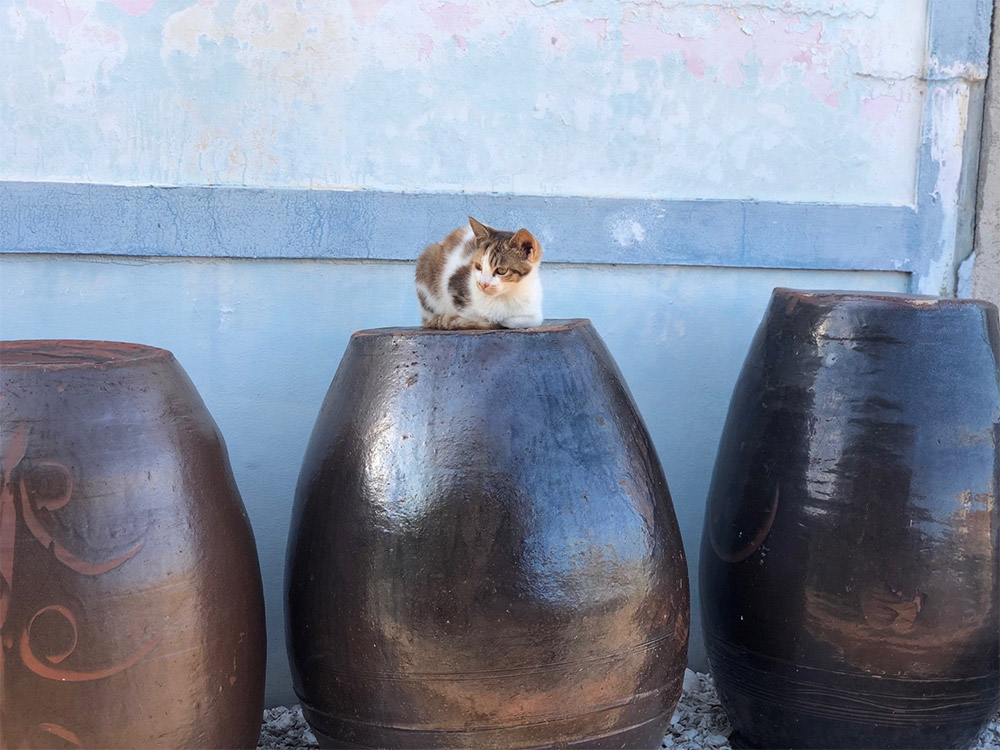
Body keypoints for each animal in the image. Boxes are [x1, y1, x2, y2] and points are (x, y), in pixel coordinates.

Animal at [414, 217, 544, 328]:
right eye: (478, 266)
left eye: (501, 270)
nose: (482, 284)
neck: (506, 296)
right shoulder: (453, 287)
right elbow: (479, 317)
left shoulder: (534, 309)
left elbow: (532, 319)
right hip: (428, 259)